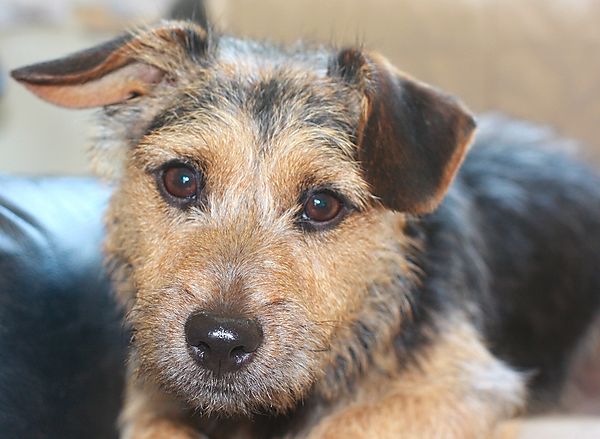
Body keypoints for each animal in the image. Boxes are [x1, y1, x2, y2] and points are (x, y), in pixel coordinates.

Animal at [11, 19, 600, 436]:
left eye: (322, 204)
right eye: (181, 179)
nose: (220, 340)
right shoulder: (151, 402)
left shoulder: (467, 388)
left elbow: (350, 426)